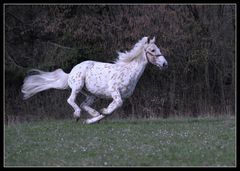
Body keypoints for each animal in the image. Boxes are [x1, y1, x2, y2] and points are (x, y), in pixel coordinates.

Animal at [21, 36, 168, 123]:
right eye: (152, 50)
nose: (165, 64)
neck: (128, 72)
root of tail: (71, 72)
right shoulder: (114, 91)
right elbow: (116, 105)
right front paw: (100, 113)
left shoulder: (121, 96)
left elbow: (111, 110)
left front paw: (95, 117)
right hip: (78, 86)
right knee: (71, 100)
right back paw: (77, 115)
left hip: (92, 94)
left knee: (83, 104)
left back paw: (92, 114)